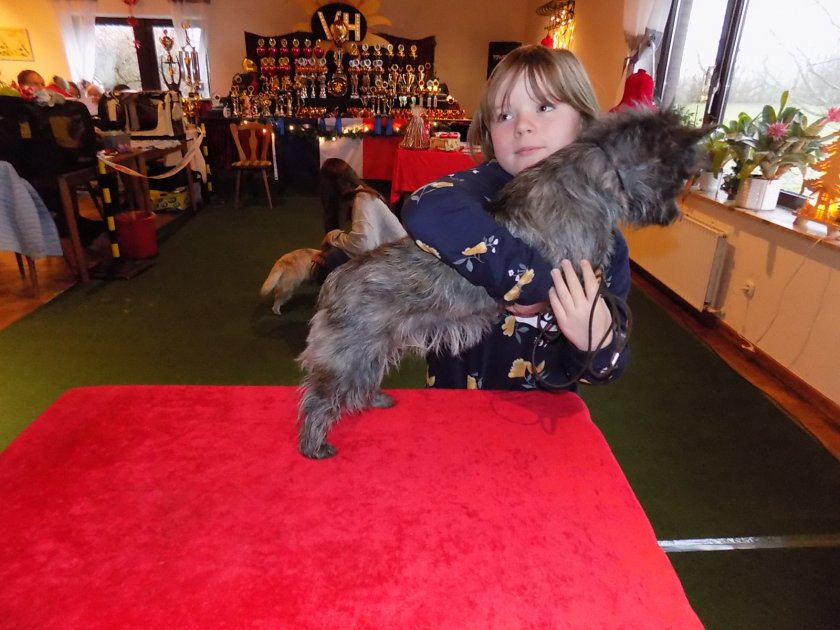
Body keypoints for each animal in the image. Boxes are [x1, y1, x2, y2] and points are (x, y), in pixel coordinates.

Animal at [298, 108, 708, 459]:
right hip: (350, 354)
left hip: (371, 350)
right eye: (676, 177)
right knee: (319, 396)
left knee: (357, 385)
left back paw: (374, 400)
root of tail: (334, 280)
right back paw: (313, 445)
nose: (674, 215)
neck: (597, 174)